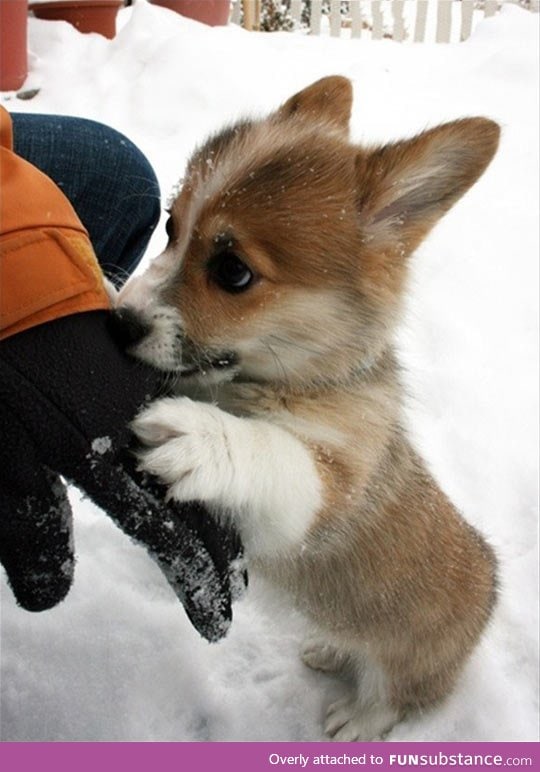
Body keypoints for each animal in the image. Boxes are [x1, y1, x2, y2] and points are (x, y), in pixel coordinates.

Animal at [116, 78, 500, 740]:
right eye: (170, 225)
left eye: (232, 271)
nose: (117, 321)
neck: (292, 381)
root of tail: (491, 586)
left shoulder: (322, 495)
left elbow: (274, 453)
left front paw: (199, 440)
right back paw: (327, 648)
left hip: (404, 662)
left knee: (396, 695)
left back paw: (358, 720)